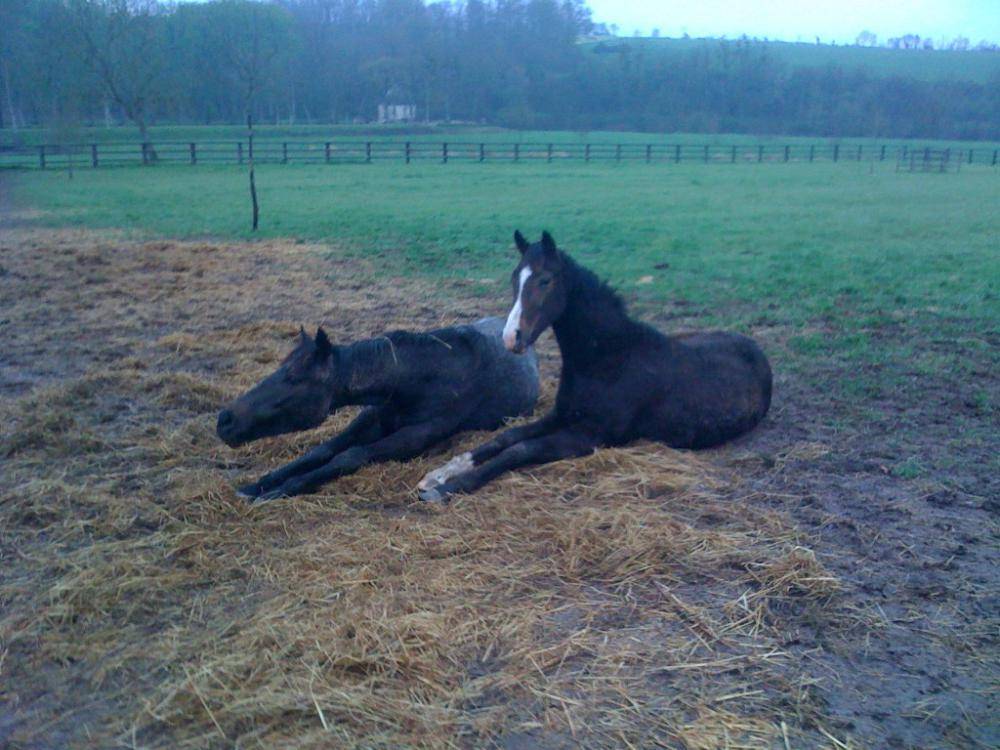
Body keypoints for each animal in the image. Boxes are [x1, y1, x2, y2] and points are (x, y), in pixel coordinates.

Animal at [218, 318, 540, 506]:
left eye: (295, 377)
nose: (225, 420)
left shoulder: (418, 435)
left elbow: (351, 455)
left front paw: (279, 491)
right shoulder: (371, 417)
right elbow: (321, 451)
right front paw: (257, 485)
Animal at [418, 231, 776, 506]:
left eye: (545, 280)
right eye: (514, 279)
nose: (511, 338)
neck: (605, 359)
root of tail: (757, 350)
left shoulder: (590, 435)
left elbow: (520, 449)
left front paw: (449, 488)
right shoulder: (561, 414)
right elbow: (505, 437)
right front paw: (440, 472)